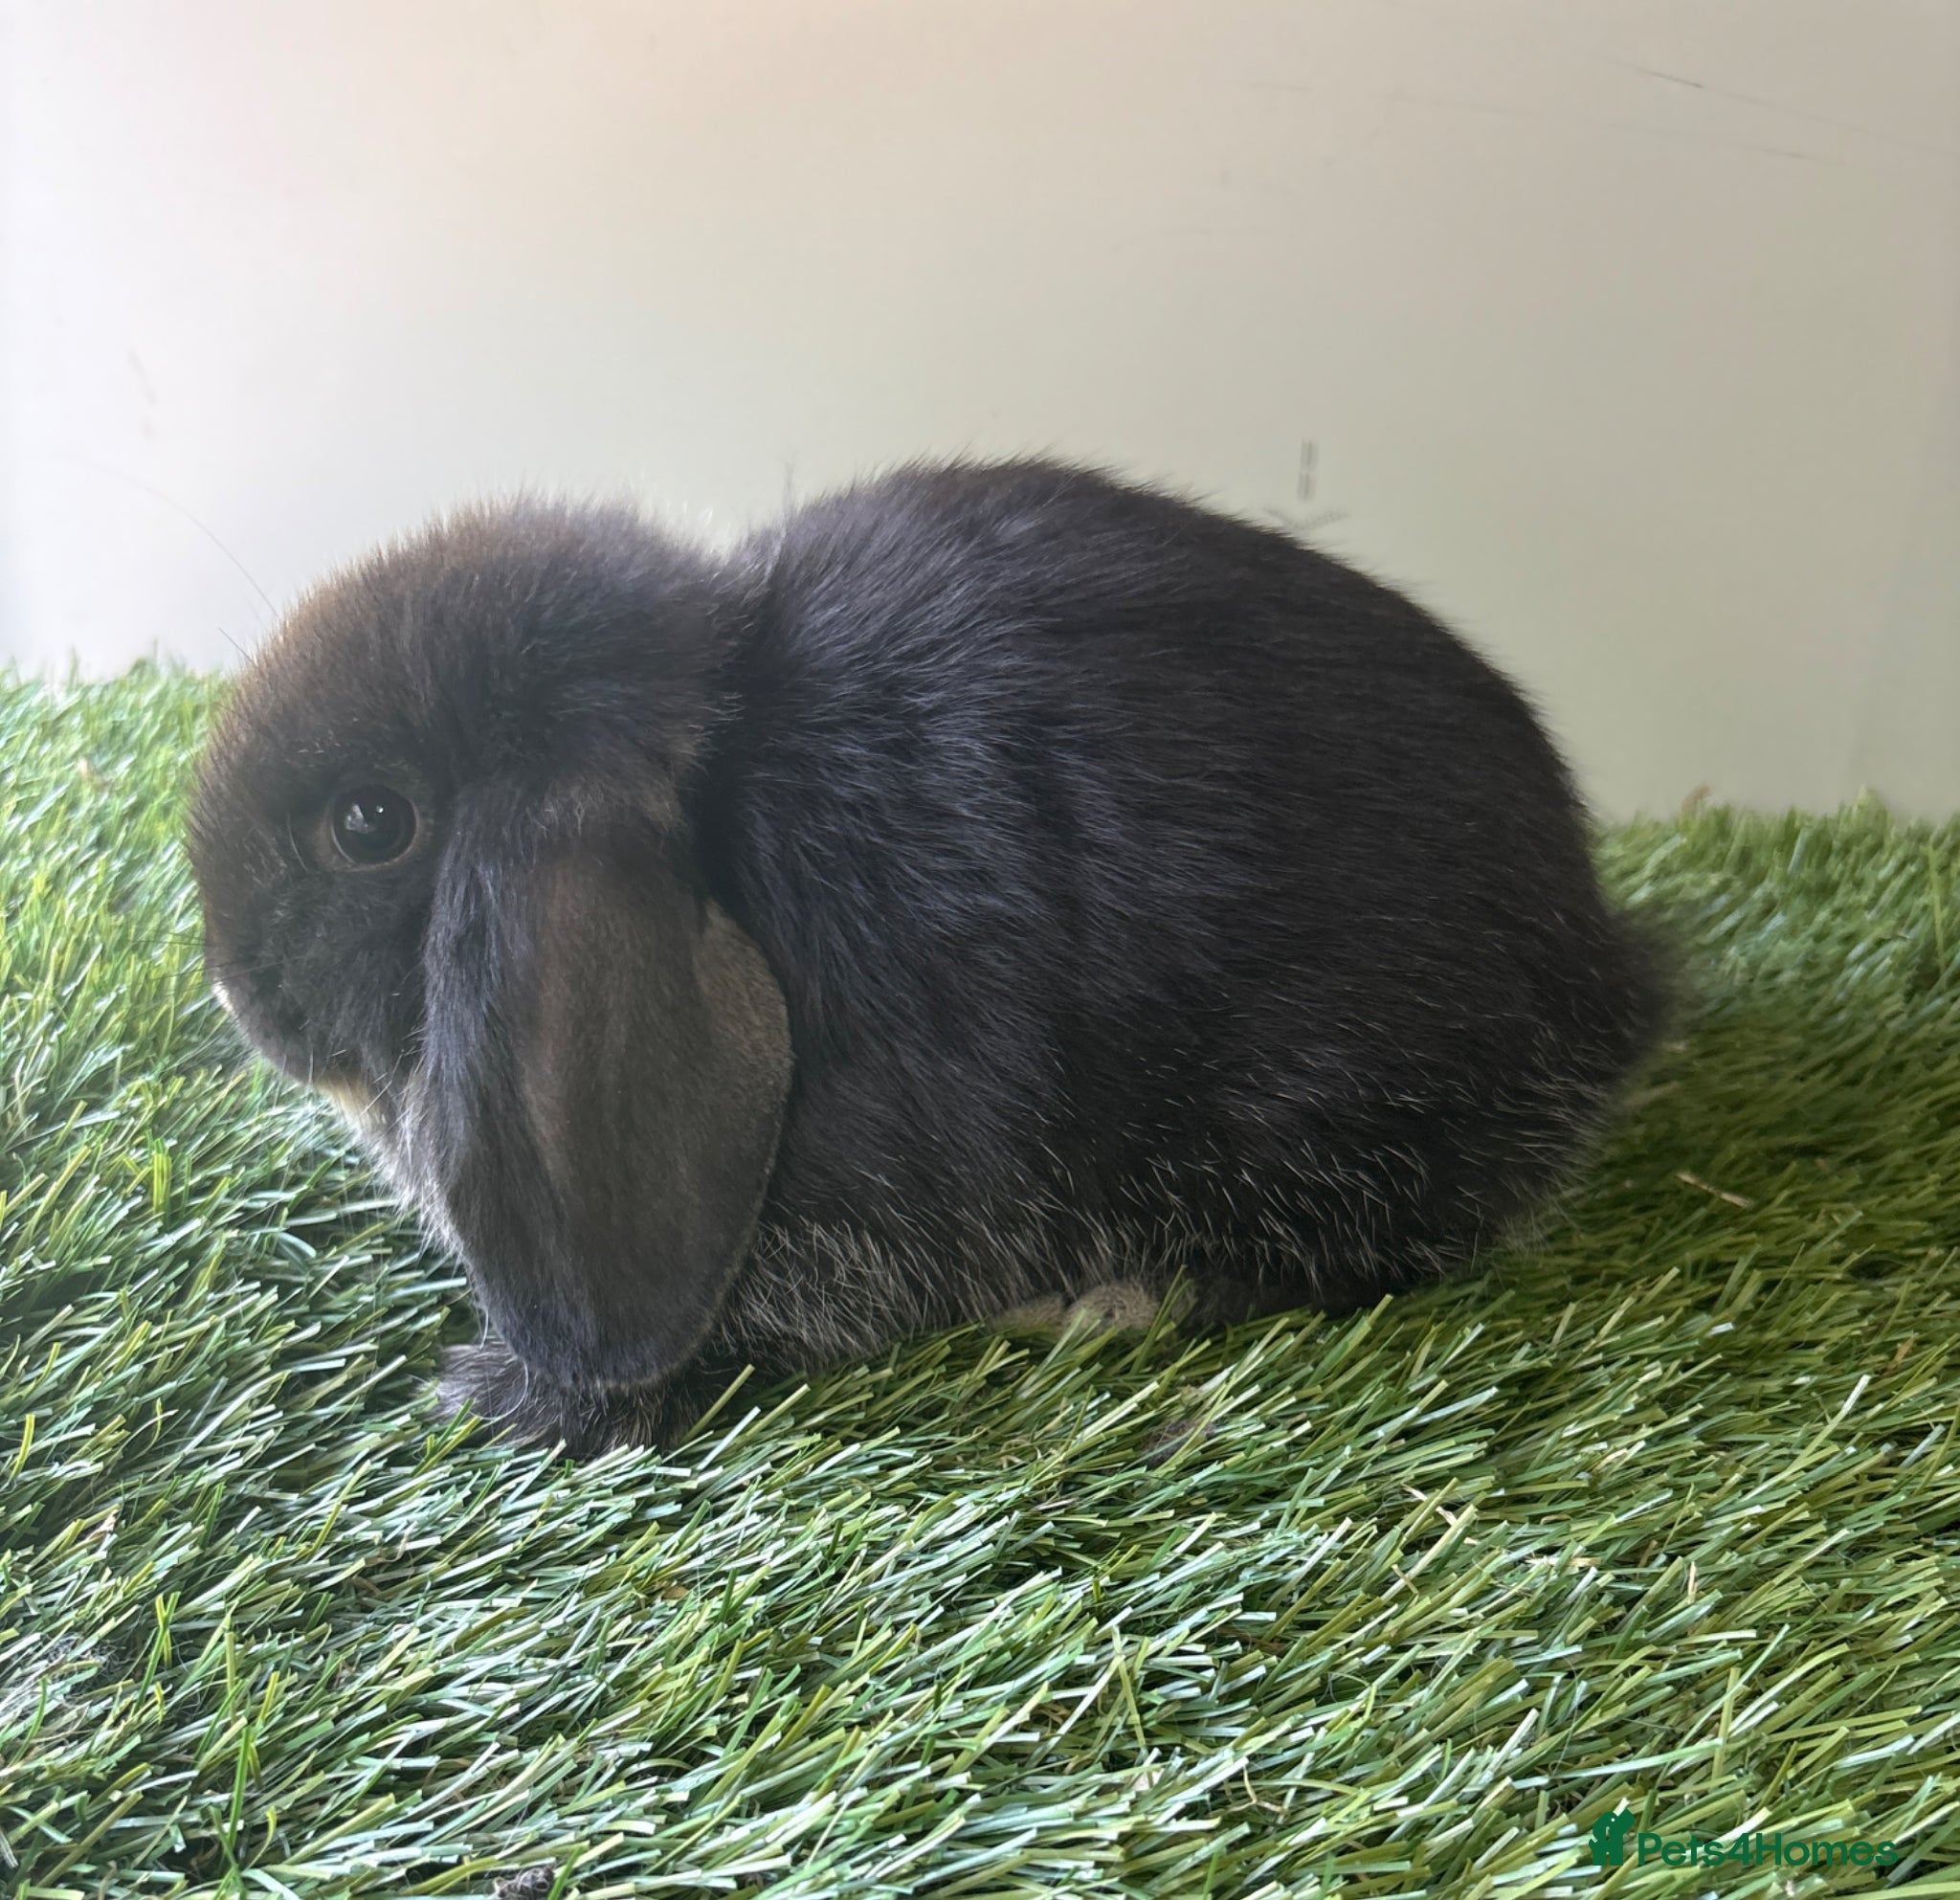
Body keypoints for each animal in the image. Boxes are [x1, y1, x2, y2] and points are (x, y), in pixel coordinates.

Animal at [190, 458, 1668, 1455]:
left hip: (1312, 1108)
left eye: (371, 822)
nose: (231, 985)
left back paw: (1101, 1300)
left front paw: (506, 1397)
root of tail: (1604, 966)